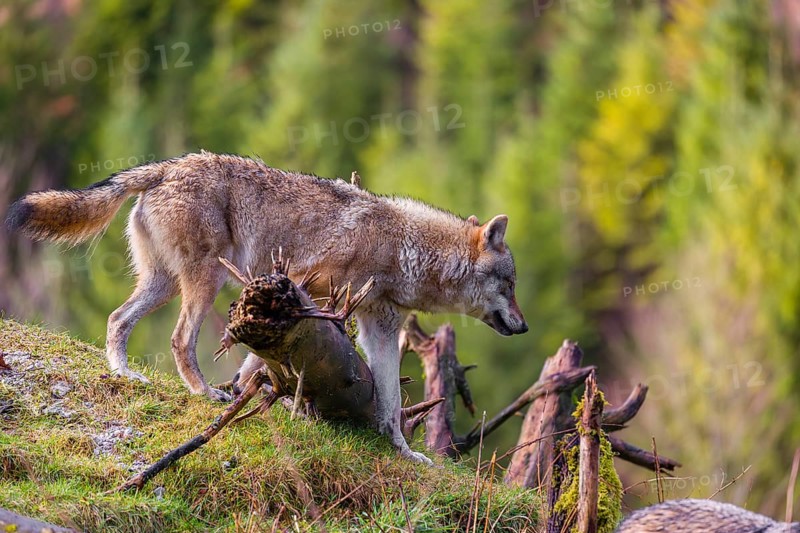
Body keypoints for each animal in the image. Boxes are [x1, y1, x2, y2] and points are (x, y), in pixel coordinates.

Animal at [5, 151, 528, 463]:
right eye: (510, 284)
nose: (523, 327)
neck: (402, 247)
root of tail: (167, 166)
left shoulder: (380, 328)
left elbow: (389, 402)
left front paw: (403, 452)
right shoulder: (303, 291)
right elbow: (261, 359)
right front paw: (248, 394)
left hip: (164, 284)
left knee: (117, 320)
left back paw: (125, 374)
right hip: (205, 282)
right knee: (178, 340)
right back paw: (203, 393)